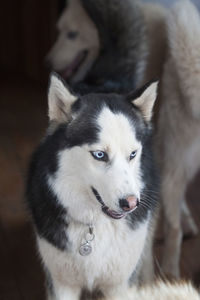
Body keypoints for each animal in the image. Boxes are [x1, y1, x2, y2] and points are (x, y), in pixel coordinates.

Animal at [26, 73, 158, 300]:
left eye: (132, 154)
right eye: (99, 155)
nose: (131, 203)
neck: (95, 225)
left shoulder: (121, 284)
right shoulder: (61, 283)